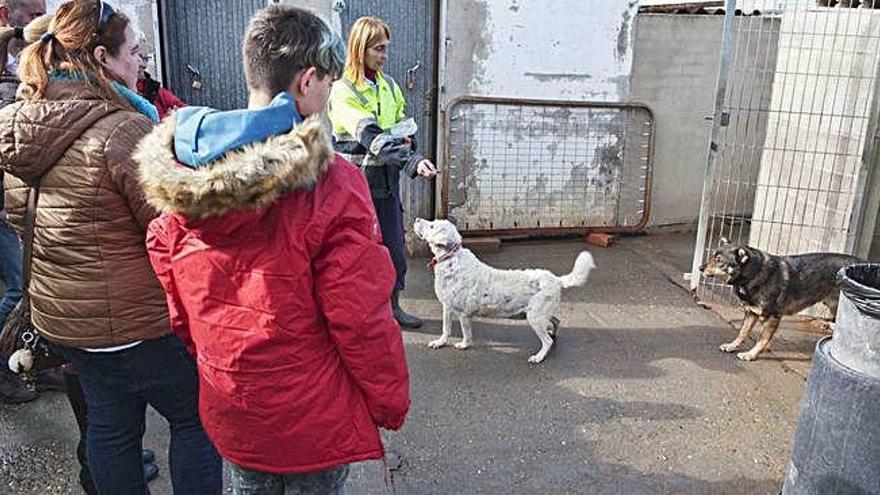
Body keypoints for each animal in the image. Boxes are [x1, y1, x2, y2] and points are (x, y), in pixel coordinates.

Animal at [414, 218, 600, 364]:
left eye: (432, 226)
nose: (416, 219)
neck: (450, 258)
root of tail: (556, 279)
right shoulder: (447, 308)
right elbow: (445, 329)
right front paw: (440, 342)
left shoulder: (464, 314)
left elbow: (466, 334)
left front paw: (463, 345)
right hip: (542, 313)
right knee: (556, 321)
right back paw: (553, 333)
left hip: (535, 317)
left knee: (547, 342)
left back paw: (538, 357)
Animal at [700, 239, 860, 360]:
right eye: (712, 256)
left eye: (719, 260)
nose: (700, 268)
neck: (753, 273)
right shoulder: (751, 313)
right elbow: (743, 332)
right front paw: (732, 346)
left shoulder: (772, 317)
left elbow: (762, 339)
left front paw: (751, 354)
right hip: (834, 307)